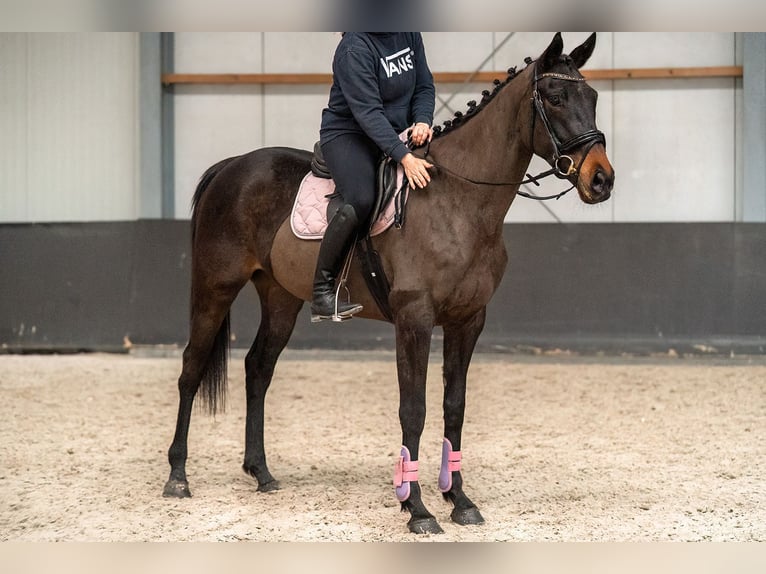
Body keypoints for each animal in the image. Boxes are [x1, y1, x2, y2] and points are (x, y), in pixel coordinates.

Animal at [162, 32, 615, 535]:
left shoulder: (467, 320)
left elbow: (454, 406)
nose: (601, 179)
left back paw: (261, 472)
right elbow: (413, 410)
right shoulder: (414, 320)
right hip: (215, 288)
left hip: (280, 298)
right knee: (191, 367)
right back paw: (178, 477)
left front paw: (459, 500)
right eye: (554, 98)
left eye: (593, 98)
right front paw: (416, 508)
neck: (458, 200)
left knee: (258, 368)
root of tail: (231, 166)